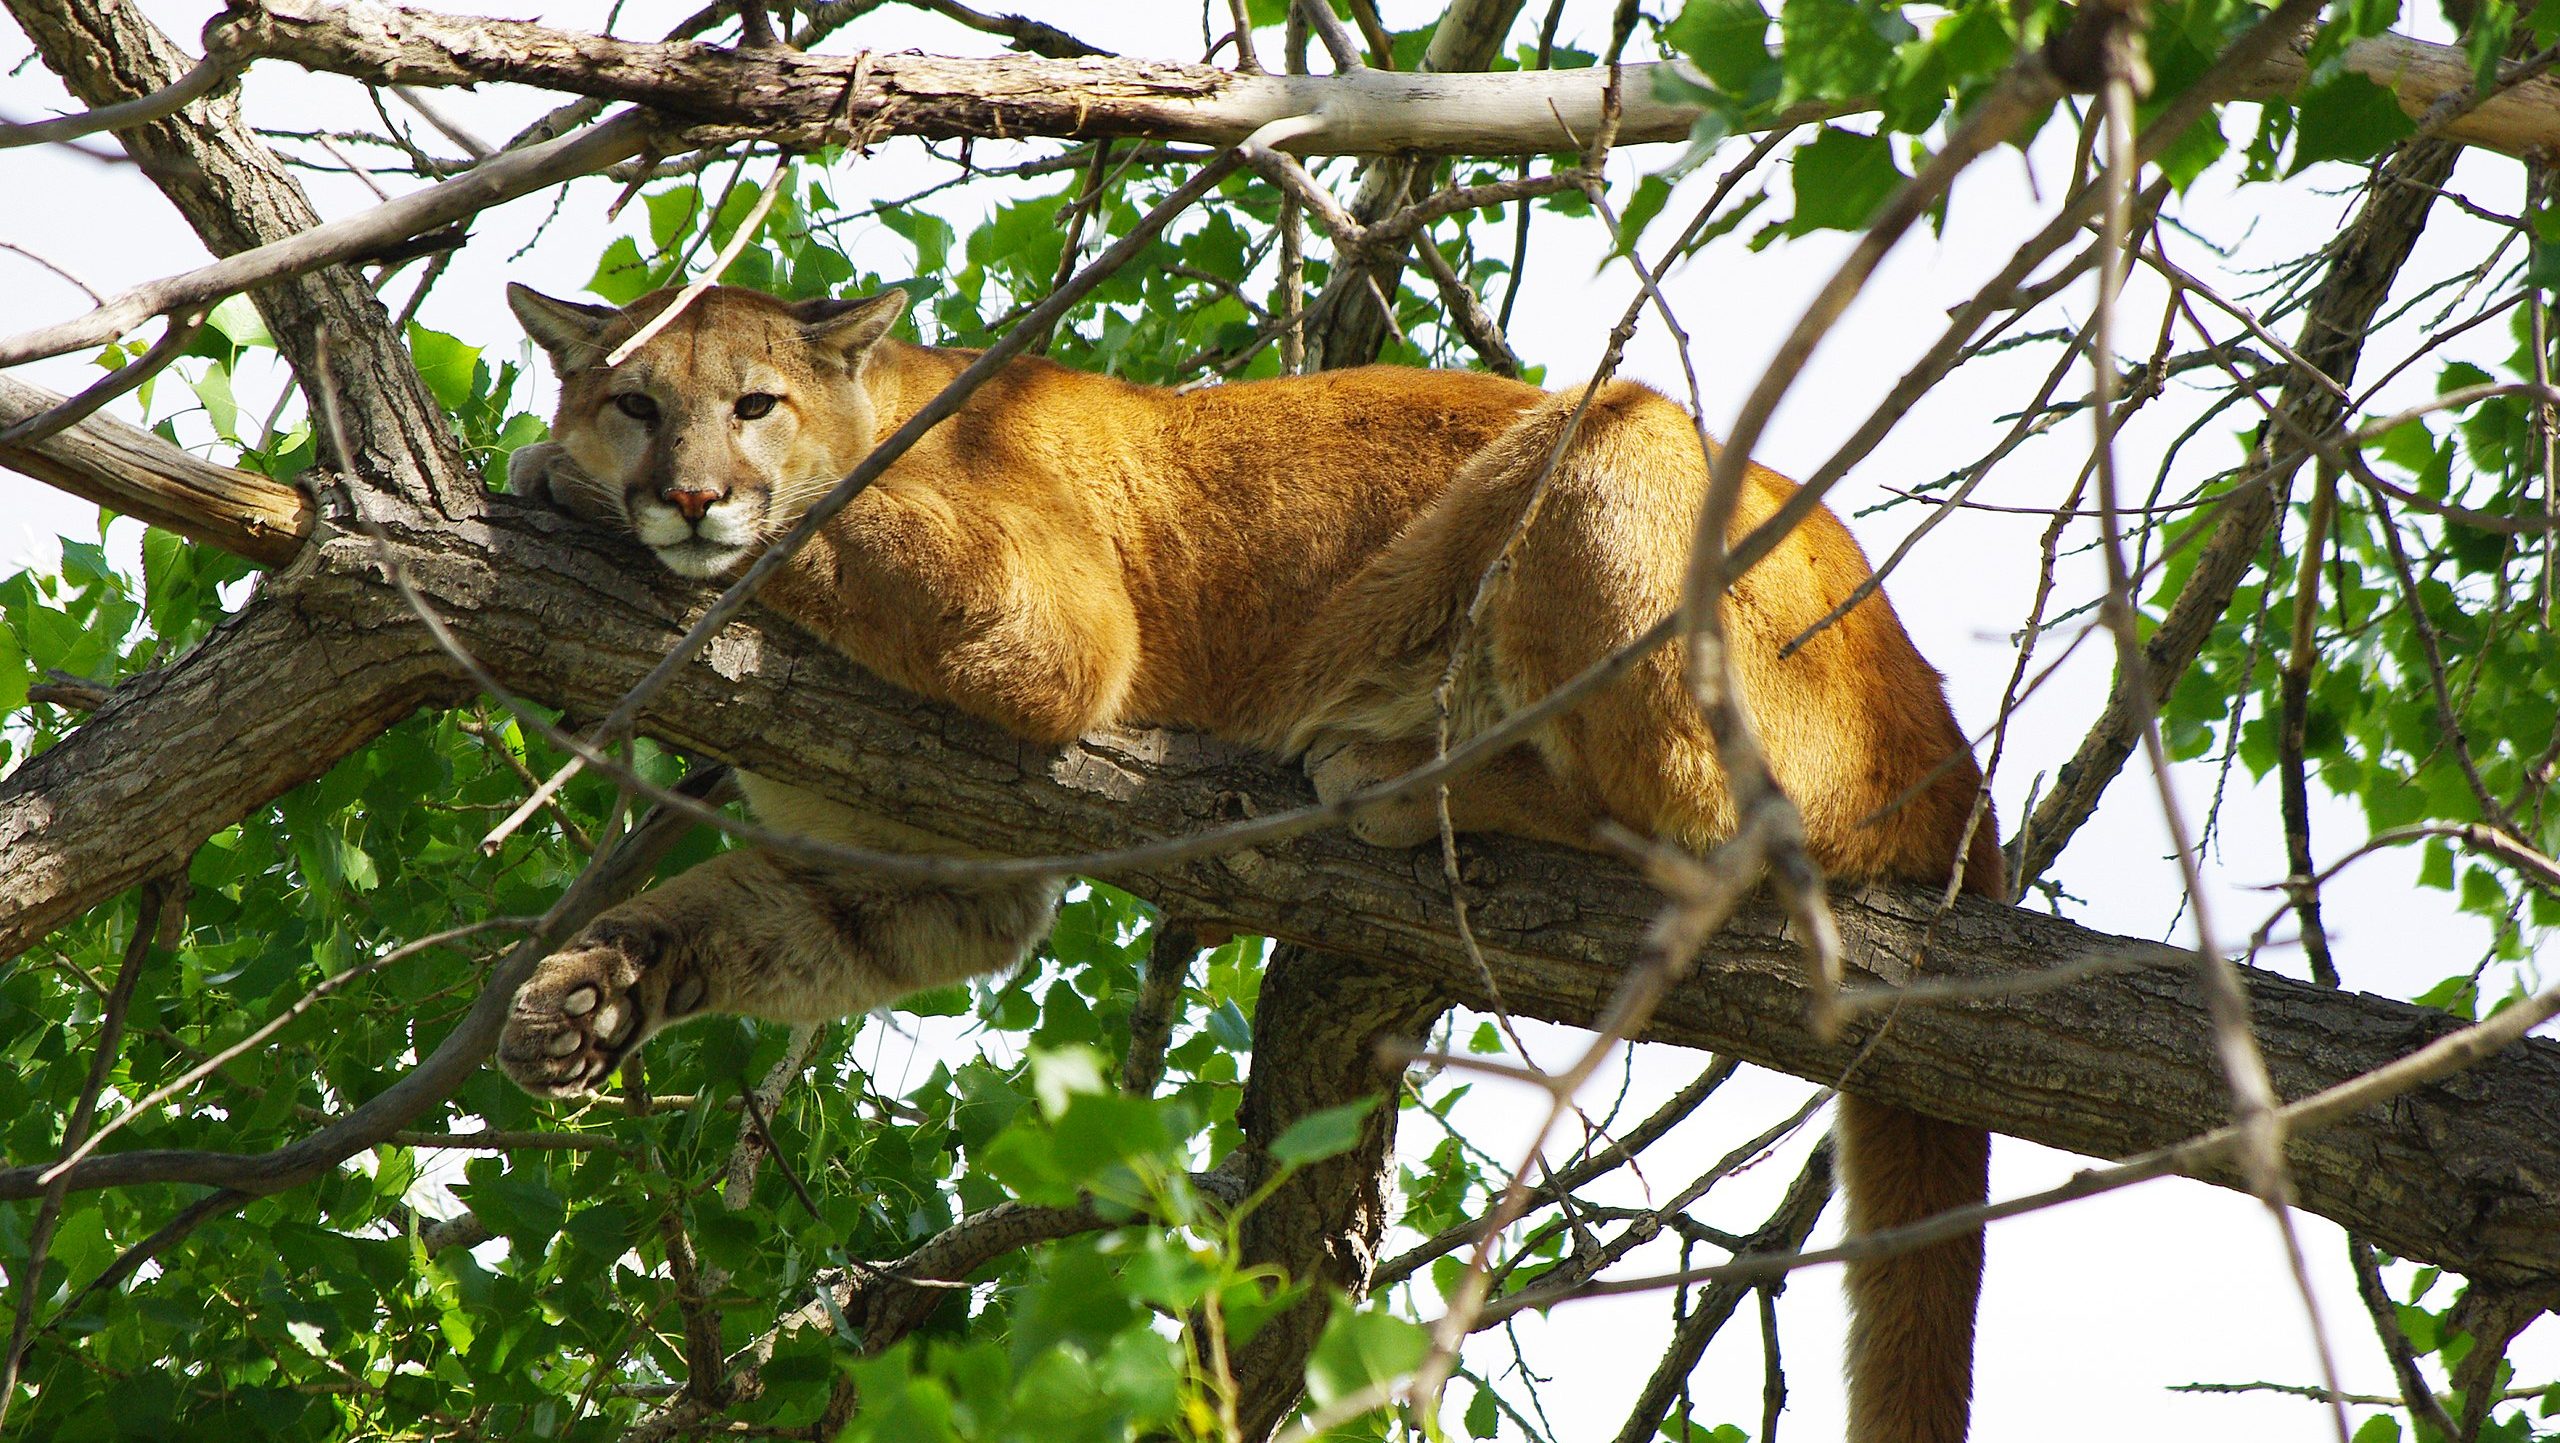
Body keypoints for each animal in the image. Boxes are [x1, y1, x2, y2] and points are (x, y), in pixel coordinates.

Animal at [499, 281, 2007, 1443]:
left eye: (753, 406)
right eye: (637, 402)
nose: (684, 493)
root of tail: (1952, 749)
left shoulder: (1046, 625)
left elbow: (824, 520)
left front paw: (559, 478)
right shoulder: (918, 873)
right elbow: (730, 924)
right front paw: (582, 1002)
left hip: (1614, 443)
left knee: (1708, 824)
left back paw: (1389, 768)